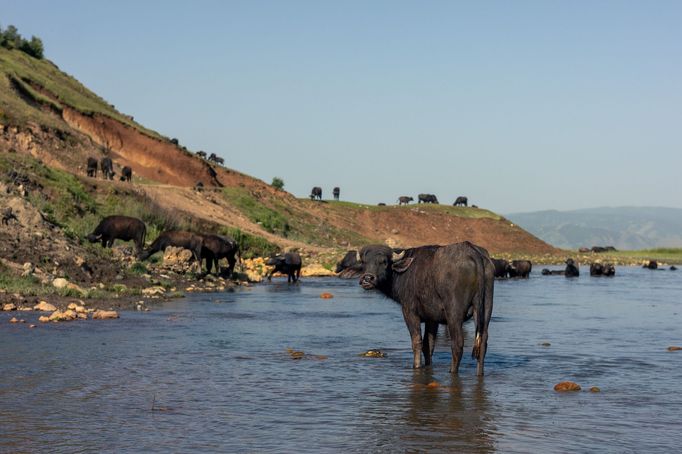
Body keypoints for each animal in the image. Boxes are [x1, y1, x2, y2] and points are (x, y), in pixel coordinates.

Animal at [356, 241, 494, 376]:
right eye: (364, 262)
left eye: (384, 262)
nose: (367, 278)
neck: (403, 274)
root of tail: (473, 252)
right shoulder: (432, 319)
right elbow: (428, 345)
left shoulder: (409, 312)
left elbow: (417, 341)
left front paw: (416, 366)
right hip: (485, 309)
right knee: (483, 342)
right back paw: (479, 373)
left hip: (454, 314)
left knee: (457, 343)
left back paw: (452, 371)